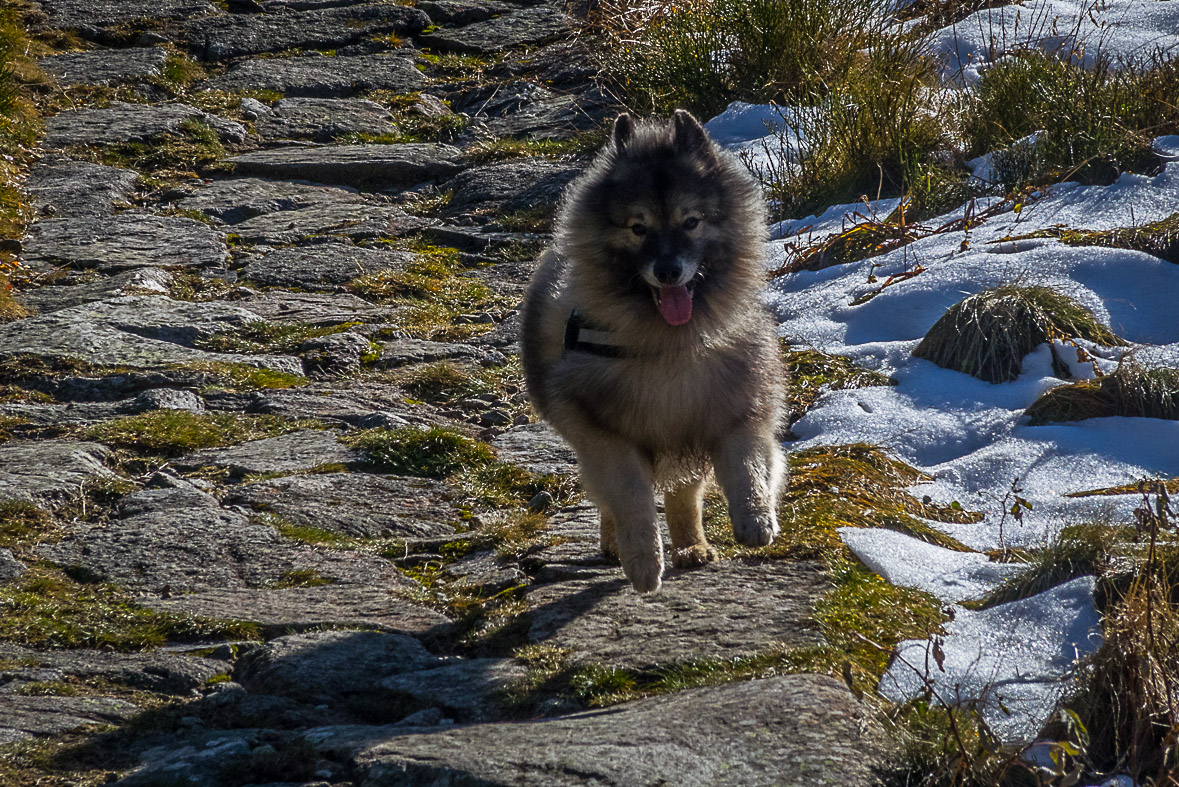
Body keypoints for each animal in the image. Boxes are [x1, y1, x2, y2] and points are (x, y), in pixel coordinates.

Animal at [523, 108, 782, 589]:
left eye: (691, 221)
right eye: (638, 228)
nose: (667, 270)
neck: (668, 346)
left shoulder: (735, 408)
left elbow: (747, 464)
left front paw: (755, 519)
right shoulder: (605, 434)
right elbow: (630, 498)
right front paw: (643, 559)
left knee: (684, 494)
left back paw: (692, 547)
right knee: (610, 500)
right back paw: (616, 545)